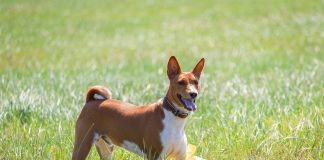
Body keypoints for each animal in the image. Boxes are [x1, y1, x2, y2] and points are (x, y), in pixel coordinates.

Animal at [73, 56, 205, 160]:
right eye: (181, 82)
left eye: (196, 82)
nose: (193, 94)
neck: (174, 118)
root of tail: (91, 101)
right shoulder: (155, 156)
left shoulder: (181, 156)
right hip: (82, 146)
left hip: (106, 149)